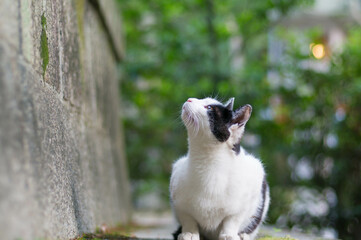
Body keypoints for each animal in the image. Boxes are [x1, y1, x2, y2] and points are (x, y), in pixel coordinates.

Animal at [170, 96, 268, 240]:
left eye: (209, 108)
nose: (189, 99)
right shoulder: (179, 203)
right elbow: (188, 219)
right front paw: (190, 233)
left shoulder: (249, 195)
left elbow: (232, 220)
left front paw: (228, 235)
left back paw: (243, 235)